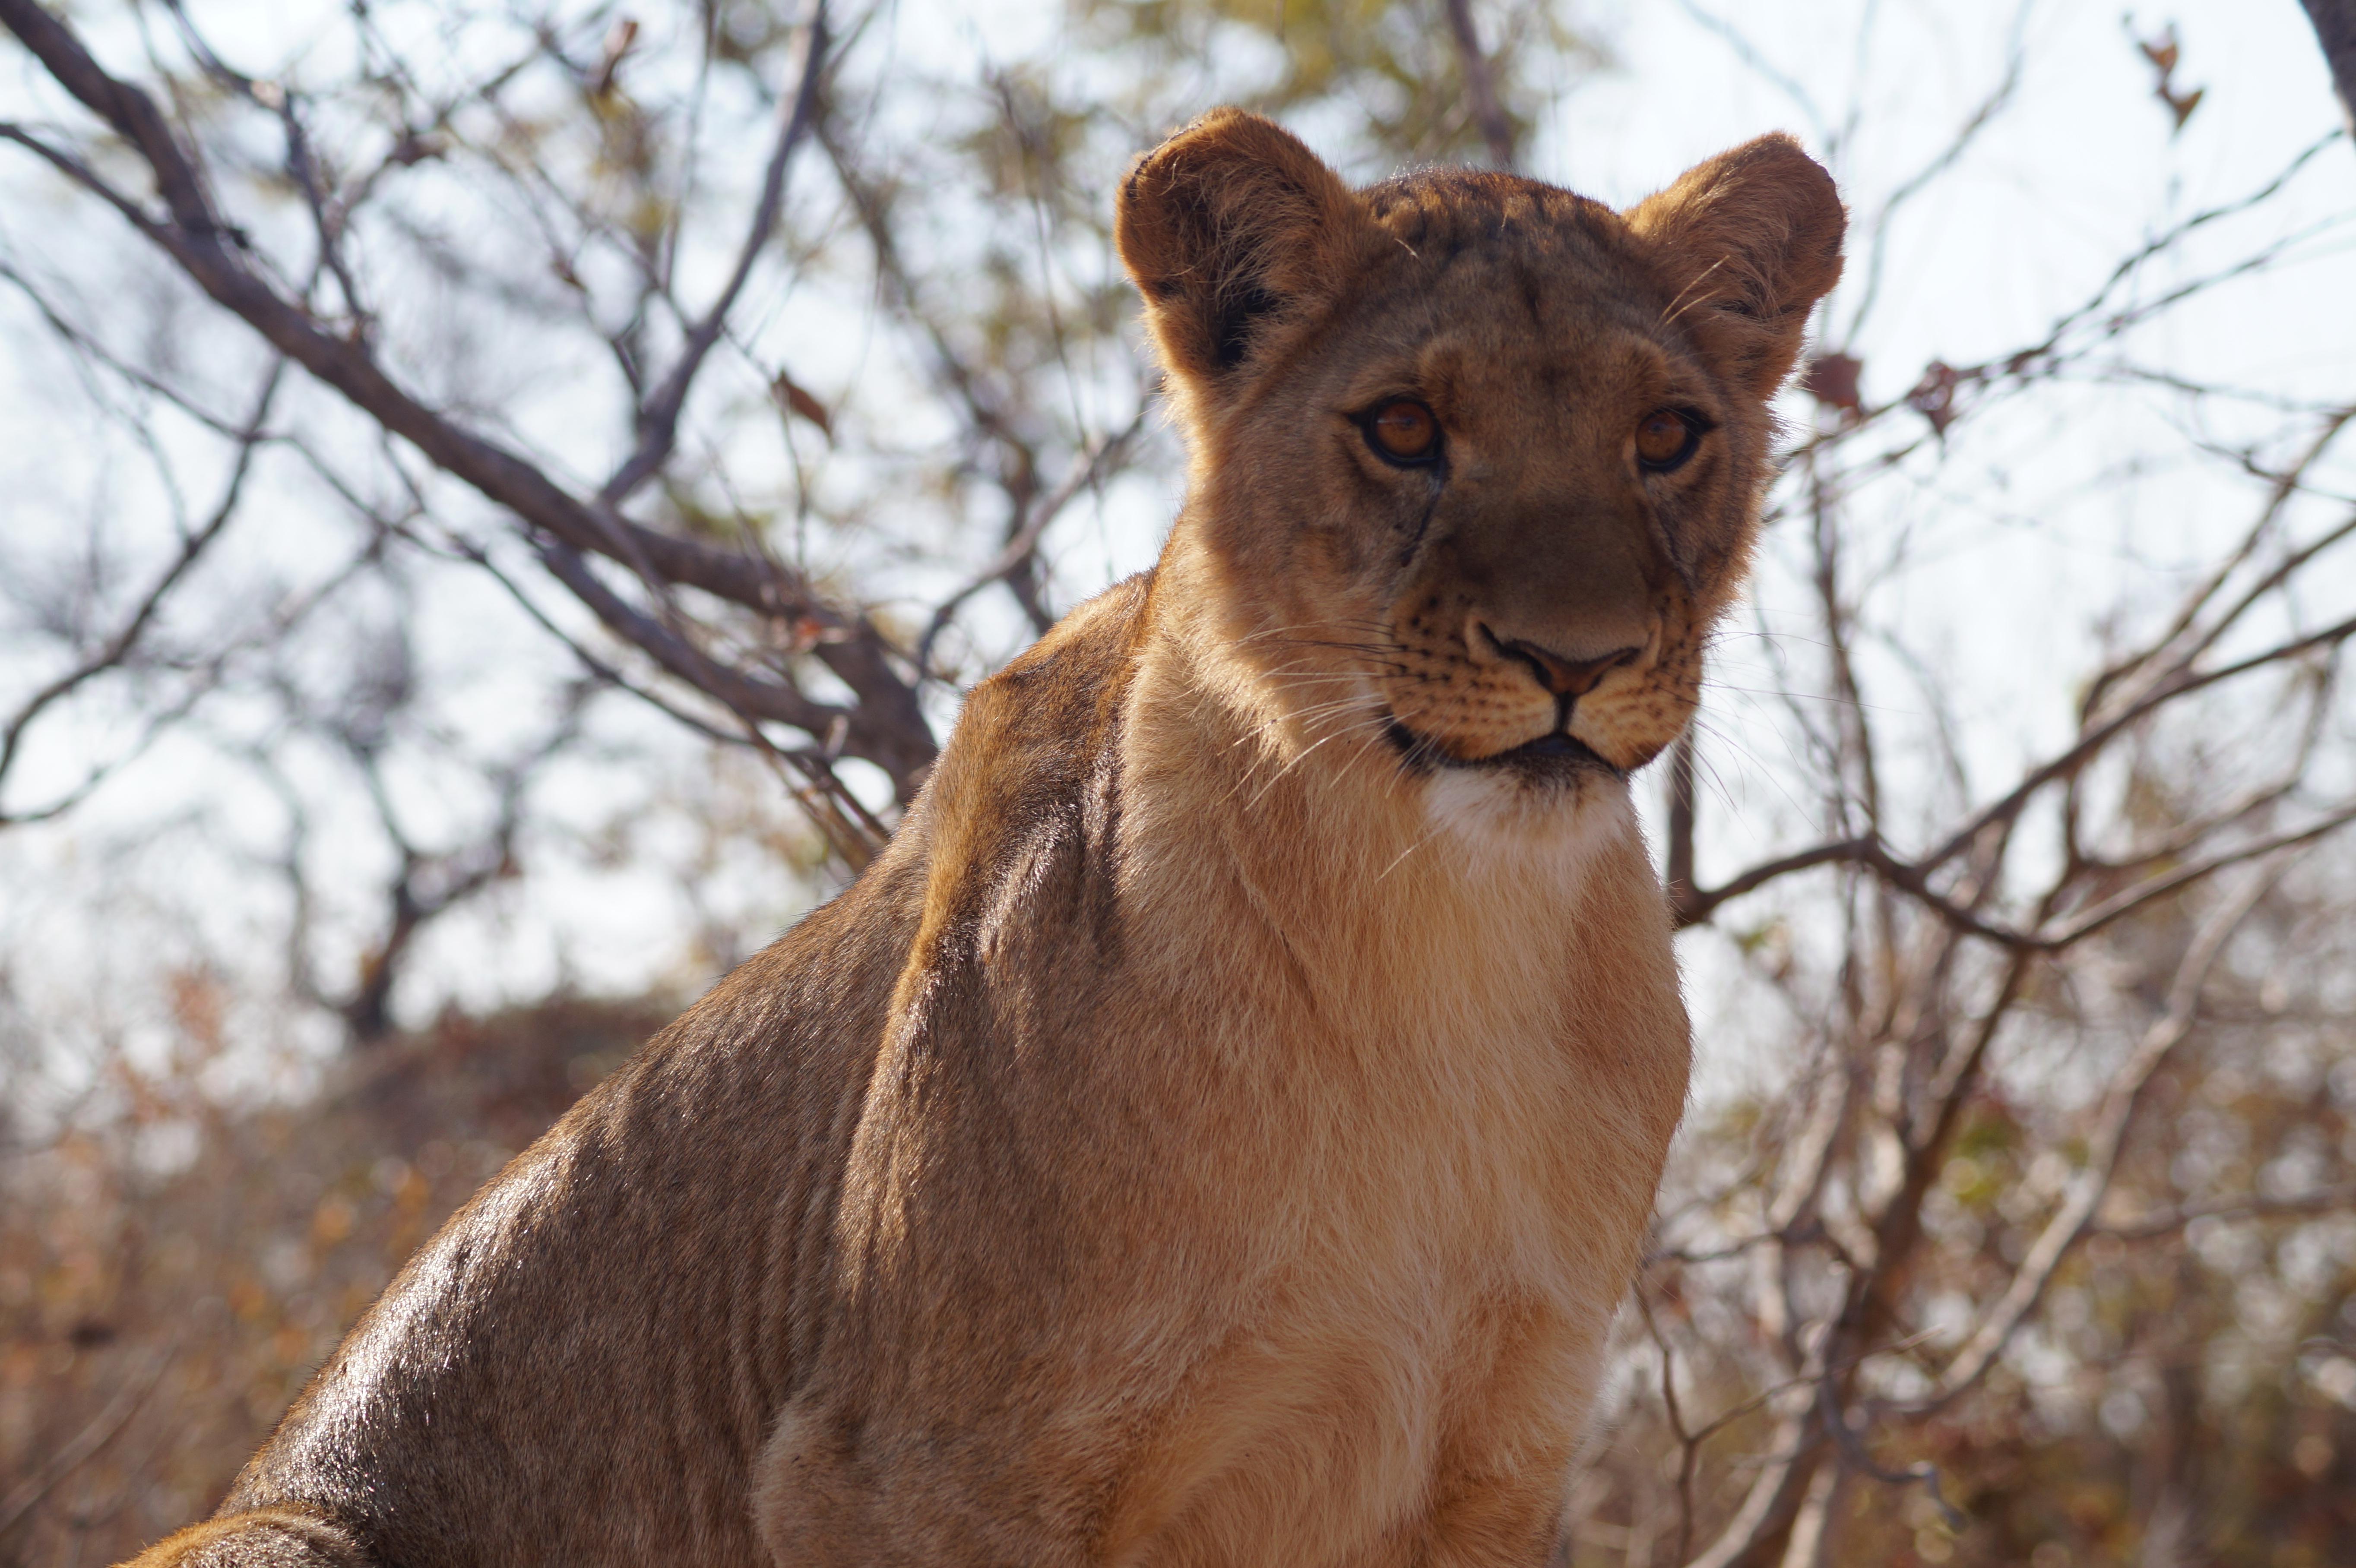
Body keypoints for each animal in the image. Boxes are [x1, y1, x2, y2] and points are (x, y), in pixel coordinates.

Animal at [129, 113, 1837, 1563]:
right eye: (1405, 428)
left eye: (1668, 435)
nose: (1575, 658)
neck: (1440, 929)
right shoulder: (906, 1467)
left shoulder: (1498, 1455)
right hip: (277, 1532)